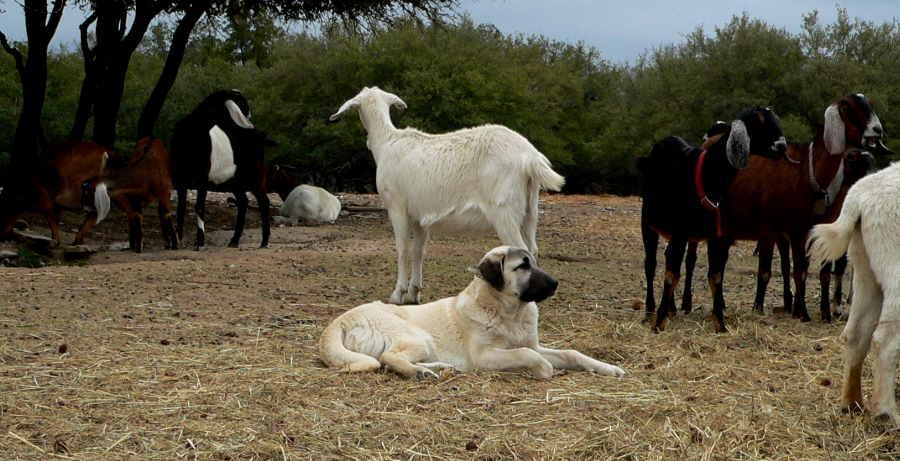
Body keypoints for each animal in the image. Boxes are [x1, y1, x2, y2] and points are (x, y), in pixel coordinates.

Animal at [318, 246, 624, 380]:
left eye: (535, 263)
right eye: (522, 266)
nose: (555, 283)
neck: (509, 314)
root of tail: (338, 321)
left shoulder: (536, 344)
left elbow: (572, 353)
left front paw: (608, 368)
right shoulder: (485, 356)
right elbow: (526, 354)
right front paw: (543, 369)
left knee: (390, 360)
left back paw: (437, 368)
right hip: (413, 336)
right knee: (387, 358)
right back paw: (419, 373)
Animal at [330, 86, 568, 306]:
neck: (387, 142)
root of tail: (531, 158)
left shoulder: (397, 207)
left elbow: (402, 250)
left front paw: (397, 294)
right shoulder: (420, 216)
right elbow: (418, 251)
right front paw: (414, 293)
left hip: (504, 209)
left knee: (522, 249)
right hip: (530, 207)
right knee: (533, 249)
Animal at [640, 106, 788, 332]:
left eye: (776, 119)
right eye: (758, 121)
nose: (782, 146)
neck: (704, 176)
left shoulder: (716, 236)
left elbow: (716, 278)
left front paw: (720, 324)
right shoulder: (681, 232)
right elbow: (671, 277)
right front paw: (659, 322)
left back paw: (672, 308)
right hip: (647, 222)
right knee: (650, 264)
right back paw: (650, 311)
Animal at [808, 161, 900, 428]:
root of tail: (860, 195)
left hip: (864, 266)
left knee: (856, 334)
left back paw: (852, 403)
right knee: (884, 340)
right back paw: (886, 413)